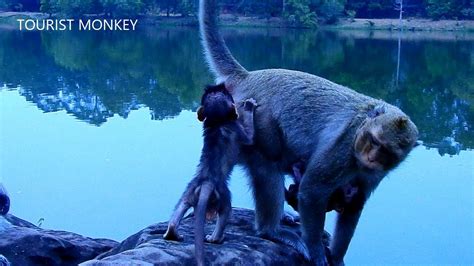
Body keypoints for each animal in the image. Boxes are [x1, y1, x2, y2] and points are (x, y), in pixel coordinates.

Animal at [164, 83, 260, 266]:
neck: (218, 122)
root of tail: (206, 182)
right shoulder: (236, 127)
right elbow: (250, 138)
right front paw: (249, 107)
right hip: (222, 194)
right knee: (226, 209)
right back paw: (216, 238)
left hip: (190, 191)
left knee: (181, 205)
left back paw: (172, 232)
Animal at [196, 0, 418, 264]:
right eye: (374, 141)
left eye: (385, 151)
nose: (371, 157)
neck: (360, 130)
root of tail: (248, 77)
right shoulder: (342, 149)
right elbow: (312, 190)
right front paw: (316, 250)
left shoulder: (374, 173)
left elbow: (355, 204)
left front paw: (337, 255)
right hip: (247, 123)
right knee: (268, 163)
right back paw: (271, 231)